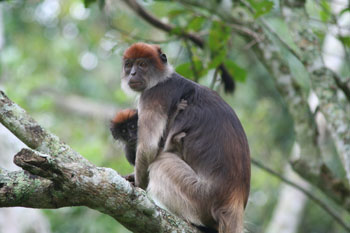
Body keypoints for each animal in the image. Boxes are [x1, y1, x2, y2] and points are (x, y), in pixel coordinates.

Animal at [121, 42, 250, 233]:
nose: (132, 74)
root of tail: (234, 200)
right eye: (129, 65)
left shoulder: (153, 95)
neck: (164, 78)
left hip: (199, 197)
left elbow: (148, 148)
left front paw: (138, 184)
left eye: (142, 64)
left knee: (160, 162)